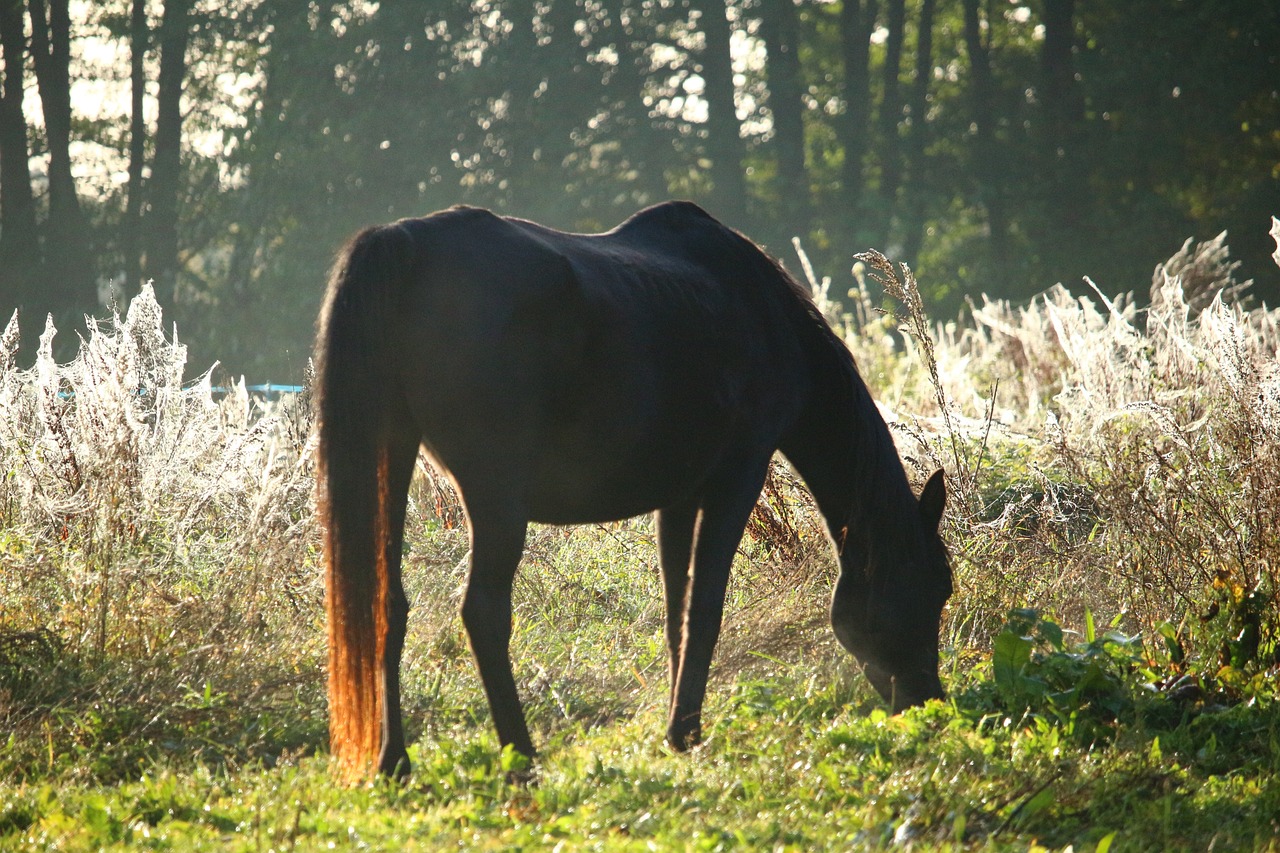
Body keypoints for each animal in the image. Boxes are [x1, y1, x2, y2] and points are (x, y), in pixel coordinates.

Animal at [312, 201, 952, 778]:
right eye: (938, 587)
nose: (931, 701)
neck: (764, 314)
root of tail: (405, 242)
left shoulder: (680, 496)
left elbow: (676, 610)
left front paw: (677, 722)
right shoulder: (737, 476)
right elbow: (706, 605)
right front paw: (686, 731)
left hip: (393, 458)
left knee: (388, 605)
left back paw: (394, 761)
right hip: (496, 500)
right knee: (484, 613)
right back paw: (521, 755)